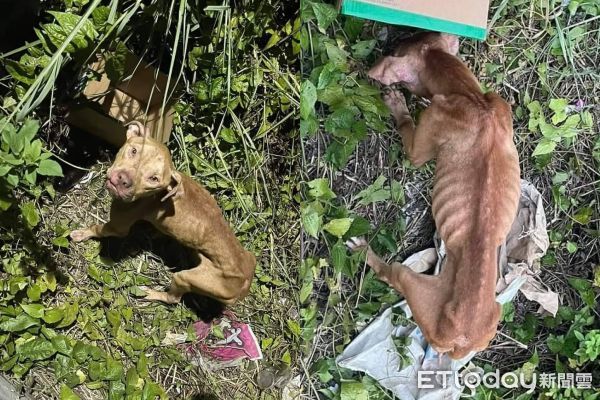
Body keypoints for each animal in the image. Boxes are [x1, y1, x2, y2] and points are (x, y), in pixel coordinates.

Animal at [70, 122, 255, 306]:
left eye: (154, 179)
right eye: (134, 151)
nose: (123, 180)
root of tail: (245, 284)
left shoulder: (117, 227)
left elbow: (97, 228)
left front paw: (82, 234)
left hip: (186, 278)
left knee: (173, 298)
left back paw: (150, 293)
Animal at [346, 32, 520, 360]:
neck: (472, 97)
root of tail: (461, 339)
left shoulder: (421, 142)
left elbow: (408, 132)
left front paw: (397, 104)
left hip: (414, 286)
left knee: (392, 273)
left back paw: (363, 249)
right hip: (495, 313)